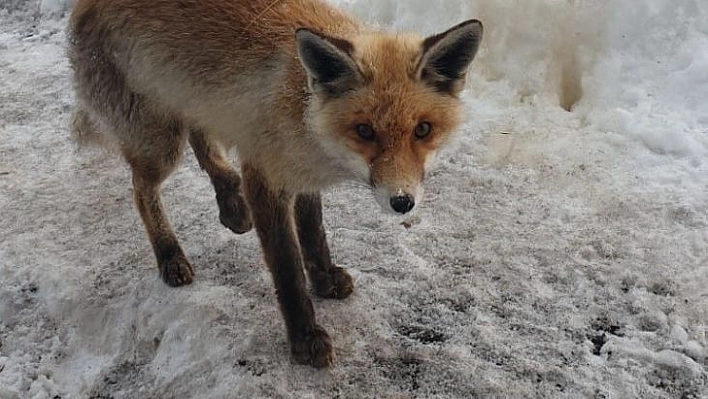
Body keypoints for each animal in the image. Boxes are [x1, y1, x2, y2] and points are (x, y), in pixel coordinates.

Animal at [66, 0, 482, 368]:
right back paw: (170, 254)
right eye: (364, 131)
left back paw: (229, 201)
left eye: (423, 130)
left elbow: (314, 234)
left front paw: (324, 278)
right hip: (160, 143)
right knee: (141, 190)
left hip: (192, 102)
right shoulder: (265, 178)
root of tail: (83, 4)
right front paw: (305, 338)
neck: (305, 111)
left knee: (203, 137)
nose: (402, 202)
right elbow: (288, 269)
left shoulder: (301, 173)